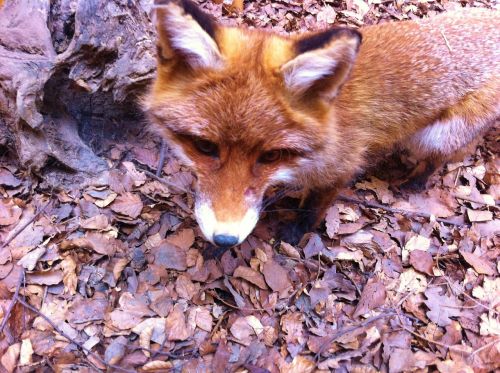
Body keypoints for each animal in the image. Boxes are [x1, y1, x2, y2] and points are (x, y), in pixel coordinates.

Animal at [143, 0, 498, 247]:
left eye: (271, 156)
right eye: (204, 147)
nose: (225, 239)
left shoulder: (342, 167)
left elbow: (313, 207)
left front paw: (295, 231)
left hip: (436, 136)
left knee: (444, 156)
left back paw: (415, 181)